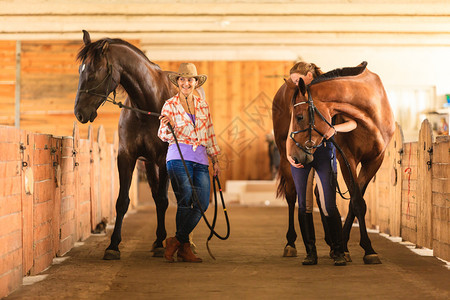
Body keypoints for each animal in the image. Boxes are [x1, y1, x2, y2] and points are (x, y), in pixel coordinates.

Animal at [74, 31, 178, 260]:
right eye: (80, 70)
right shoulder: (127, 156)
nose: (79, 113)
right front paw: (113, 245)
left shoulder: (164, 159)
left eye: (93, 73)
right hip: (148, 163)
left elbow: (164, 199)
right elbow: (122, 201)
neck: (147, 107)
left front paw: (162, 242)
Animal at [270, 62, 394, 264]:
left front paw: (346, 246)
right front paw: (362, 248)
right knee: (292, 195)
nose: (295, 155)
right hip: (284, 156)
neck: (371, 115)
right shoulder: (347, 158)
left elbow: (355, 202)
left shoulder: (375, 160)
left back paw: (329, 241)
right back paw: (290, 243)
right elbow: (357, 201)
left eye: (300, 116)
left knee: (318, 194)